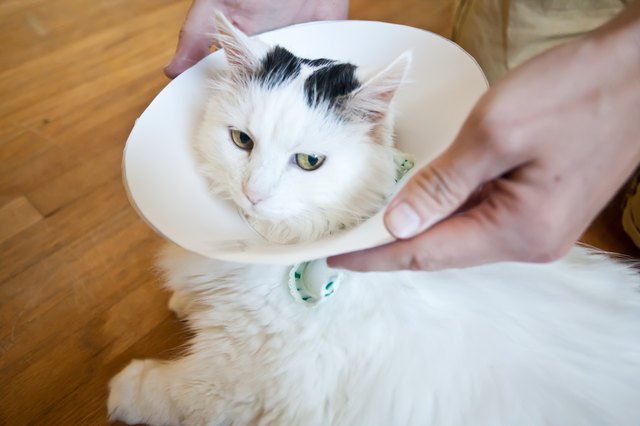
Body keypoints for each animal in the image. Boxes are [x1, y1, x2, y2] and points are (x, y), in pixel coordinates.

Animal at [110, 13, 640, 426]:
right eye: (241, 141)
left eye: (309, 162)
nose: (253, 194)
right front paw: (186, 300)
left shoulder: (243, 379)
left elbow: (182, 391)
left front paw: (126, 390)